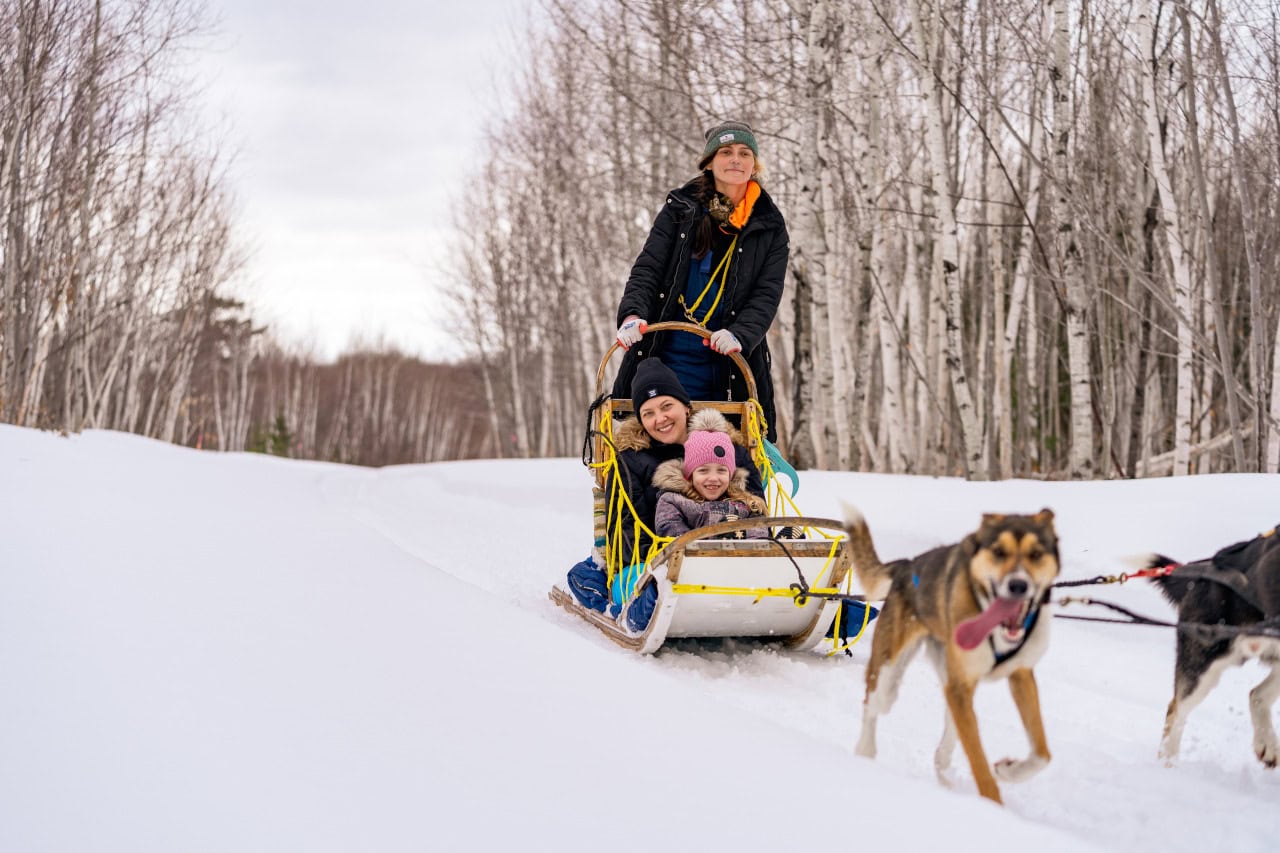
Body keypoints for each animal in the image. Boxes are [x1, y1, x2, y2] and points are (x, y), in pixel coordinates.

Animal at [839, 504, 1059, 804]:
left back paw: (943, 774)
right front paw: (992, 804)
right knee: (872, 706)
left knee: (948, 735)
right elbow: (978, 762)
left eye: (1036, 554)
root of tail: (907, 565)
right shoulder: (959, 687)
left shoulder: (1020, 675)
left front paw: (1009, 771)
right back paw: (865, 753)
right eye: (998, 552)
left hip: (954, 684)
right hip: (890, 678)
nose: (1018, 585)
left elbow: (1042, 753)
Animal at [1141, 522, 1280, 768]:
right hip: (1203, 664)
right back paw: (1168, 766)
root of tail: (1206, 571)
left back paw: (1267, 744)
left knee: (1256, 695)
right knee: (1177, 711)